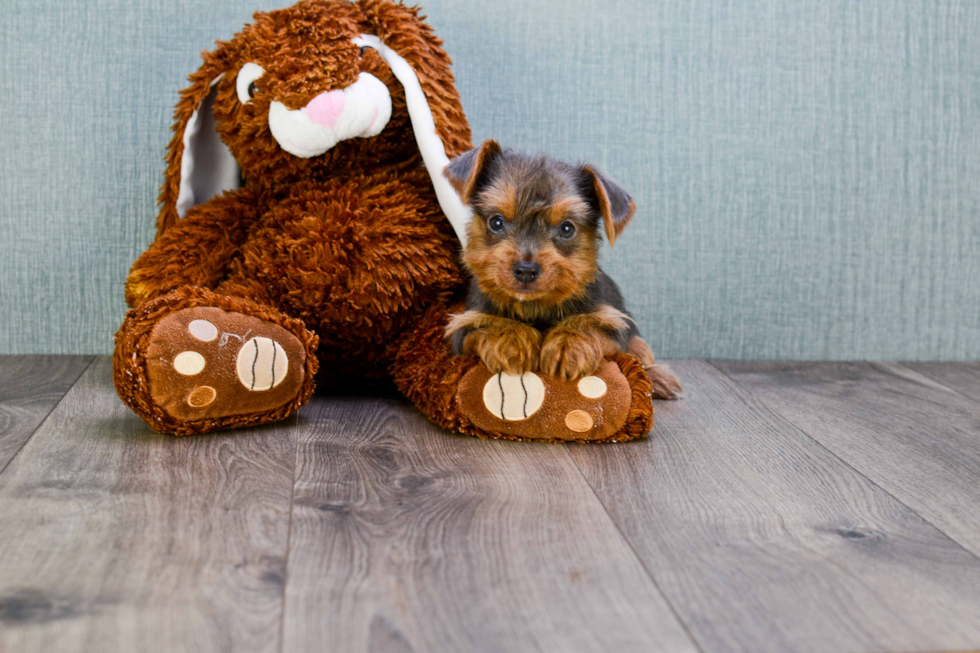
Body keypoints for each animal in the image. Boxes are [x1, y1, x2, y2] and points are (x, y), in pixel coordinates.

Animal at [444, 140, 680, 400]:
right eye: (496, 222)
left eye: (567, 228)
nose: (526, 269)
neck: (536, 306)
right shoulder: (463, 328)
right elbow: (484, 323)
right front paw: (511, 337)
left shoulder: (615, 324)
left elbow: (594, 322)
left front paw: (569, 342)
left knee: (640, 349)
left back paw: (657, 378)